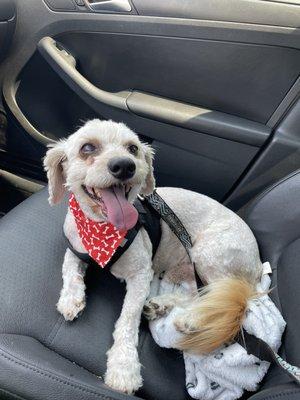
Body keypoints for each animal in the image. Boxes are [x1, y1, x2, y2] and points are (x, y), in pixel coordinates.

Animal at [44, 119, 262, 394]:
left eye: (133, 148)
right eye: (87, 148)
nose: (125, 165)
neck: (101, 231)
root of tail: (257, 267)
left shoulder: (141, 274)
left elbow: (127, 320)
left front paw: (123, 368)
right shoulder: (74, 249)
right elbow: (70, 272)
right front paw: (71, 299)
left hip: (207, 253)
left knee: (221, 299)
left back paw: (191, 319)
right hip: (183, 268)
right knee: (196, 294)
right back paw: (162, 305)